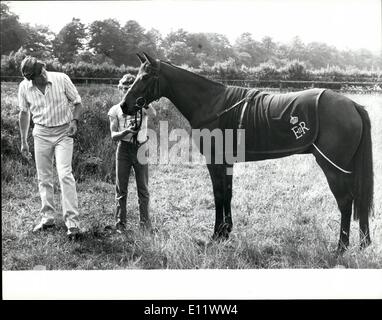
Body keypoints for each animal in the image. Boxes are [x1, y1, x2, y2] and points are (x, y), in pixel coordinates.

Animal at [120, 52, 374, 252]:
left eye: (144, 77)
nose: (124, 105)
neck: (212, 104)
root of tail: (352, 105)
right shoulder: (226, 161)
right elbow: (228, 193)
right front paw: (226, 231)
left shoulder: (215, 161)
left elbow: (219, 194)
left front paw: (216, 234)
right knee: (359, 200)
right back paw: (363, 243)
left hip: (332, 167)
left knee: (345, 201)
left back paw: (341, 248)